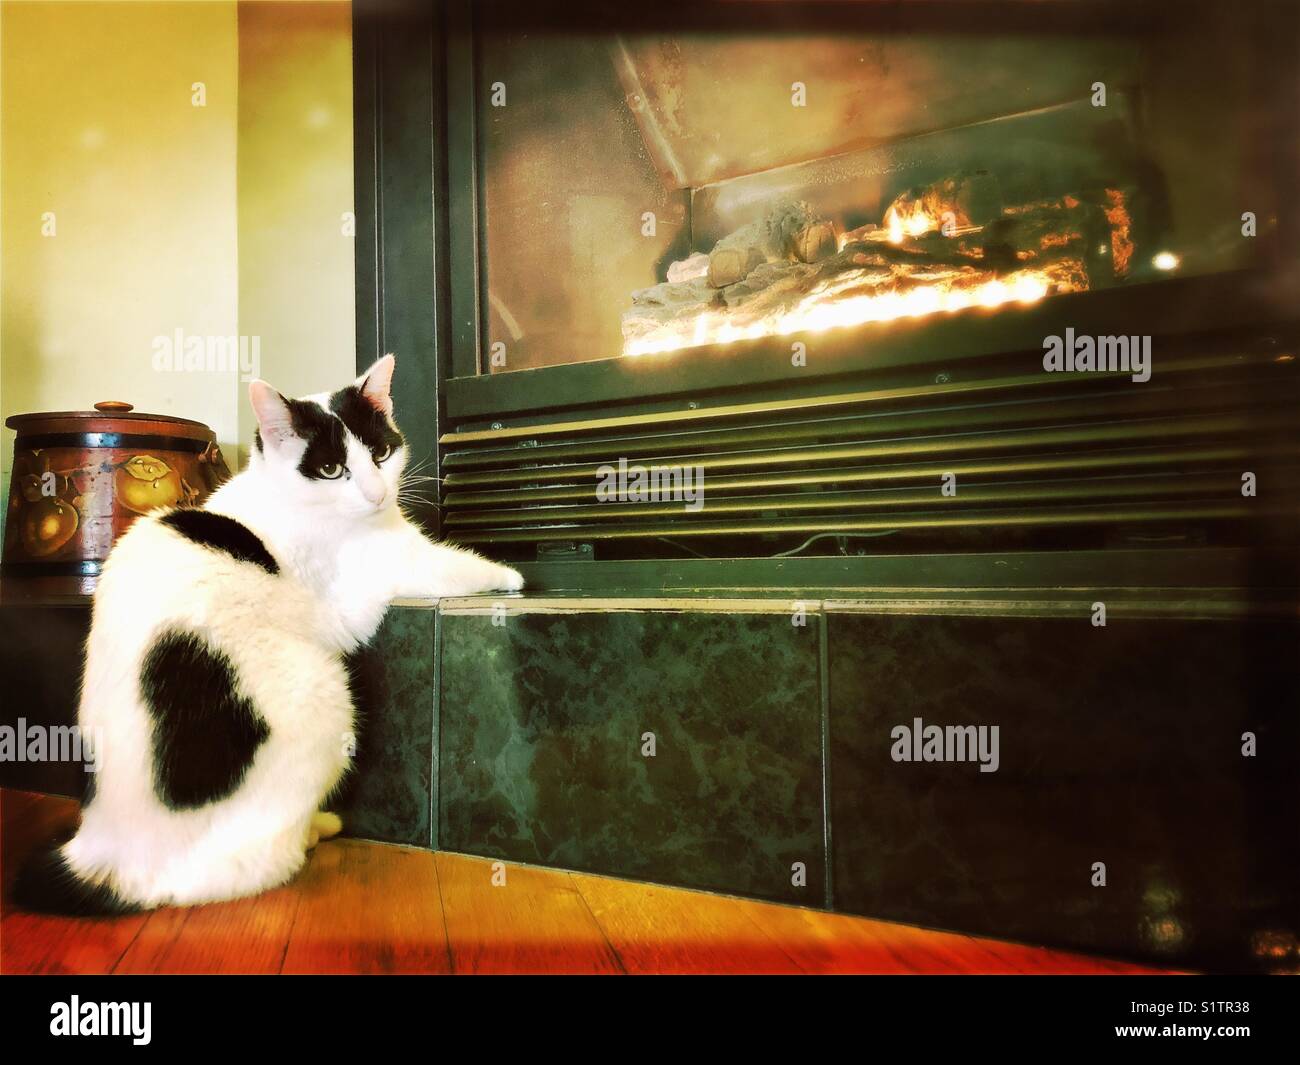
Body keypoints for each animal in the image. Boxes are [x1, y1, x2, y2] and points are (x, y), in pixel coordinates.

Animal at [16, 358, 522, 915]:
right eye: (331, 470)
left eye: (381, 454)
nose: (377, 494)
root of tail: (102, 857)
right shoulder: (385, 567)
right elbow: (447, 566)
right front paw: (508, 575)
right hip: (320, 694)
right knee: (250, 867)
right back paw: (313, 831)